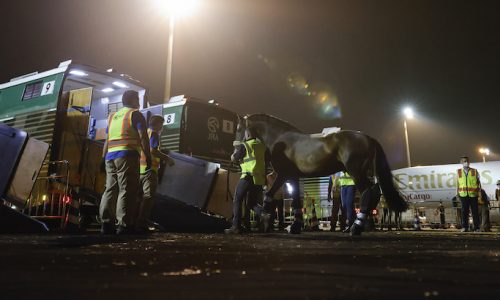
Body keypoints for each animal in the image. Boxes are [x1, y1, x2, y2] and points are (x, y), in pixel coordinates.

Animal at [234, 113, 406, 236]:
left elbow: (268, 195)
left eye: (238, 129)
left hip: (356, 172)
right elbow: (296, 201)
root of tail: (368, 138)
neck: (280, 139)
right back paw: (364, 224)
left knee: (368, 192)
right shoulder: (293, 177)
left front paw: (265, 218)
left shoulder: (283, 174)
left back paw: (356, 227)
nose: (234, 156)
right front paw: (294, 226)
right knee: (375, 191)